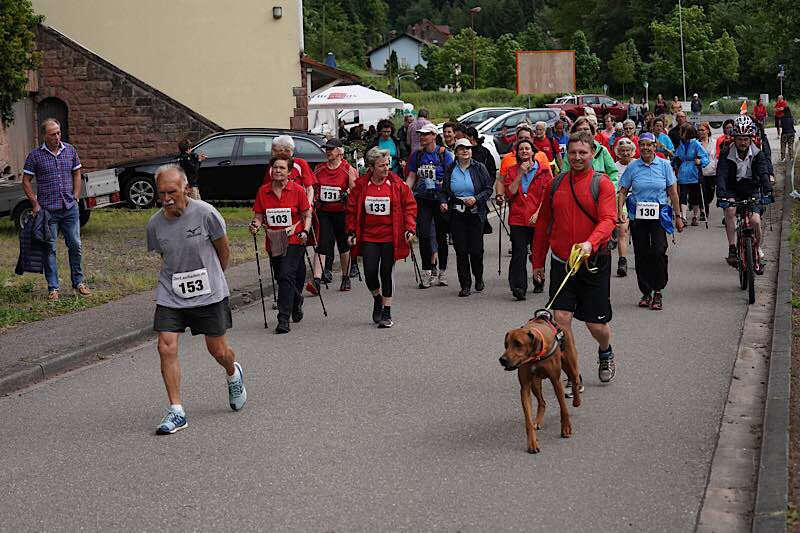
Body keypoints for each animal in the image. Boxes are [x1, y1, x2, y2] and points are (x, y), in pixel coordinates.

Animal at [500, 314, 580, 456]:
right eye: (506, 345)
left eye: (518, 344)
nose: (502, 360)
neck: (536, 356)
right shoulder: (525, 387)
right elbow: (528, 420)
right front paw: (532, 443)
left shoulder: (556, 381)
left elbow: (563, 408)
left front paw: (566, 428)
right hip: (535, 383)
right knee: (542, 402)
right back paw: (537, 421)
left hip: (571, 363)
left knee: (575, 380)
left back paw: (577, 401)